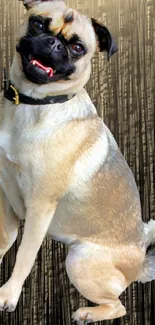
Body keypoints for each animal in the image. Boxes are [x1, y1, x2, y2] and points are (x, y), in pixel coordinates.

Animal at [0, 0, 155, 322]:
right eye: (38, 24)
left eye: (78, 48)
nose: (54, 43)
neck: (35, 104)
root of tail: (138, 268)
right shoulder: (5, 192)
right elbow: (5, 239)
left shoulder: (40, 207)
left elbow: (24, 254)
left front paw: (8, 295)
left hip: (78, 260)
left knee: (118, 306)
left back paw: (87, 314)